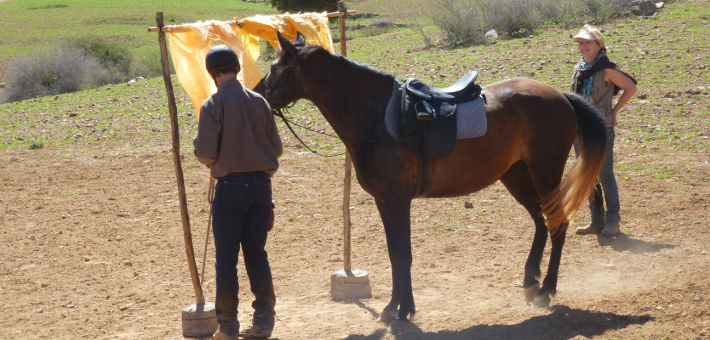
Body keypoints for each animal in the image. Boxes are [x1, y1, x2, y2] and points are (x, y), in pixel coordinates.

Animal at [256, 32, 608, 332]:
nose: (258, 94)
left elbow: (402, 254)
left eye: (275, 67)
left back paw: (546, 289)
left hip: (545, 171)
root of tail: (560, 96)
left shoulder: (397, 200)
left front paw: (400, 310)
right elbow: (395, 252)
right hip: (517, 175)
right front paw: (396, 308)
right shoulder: (384, 201)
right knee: (540, 221)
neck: (379, 118)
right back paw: (531, 281)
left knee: (556, 223)